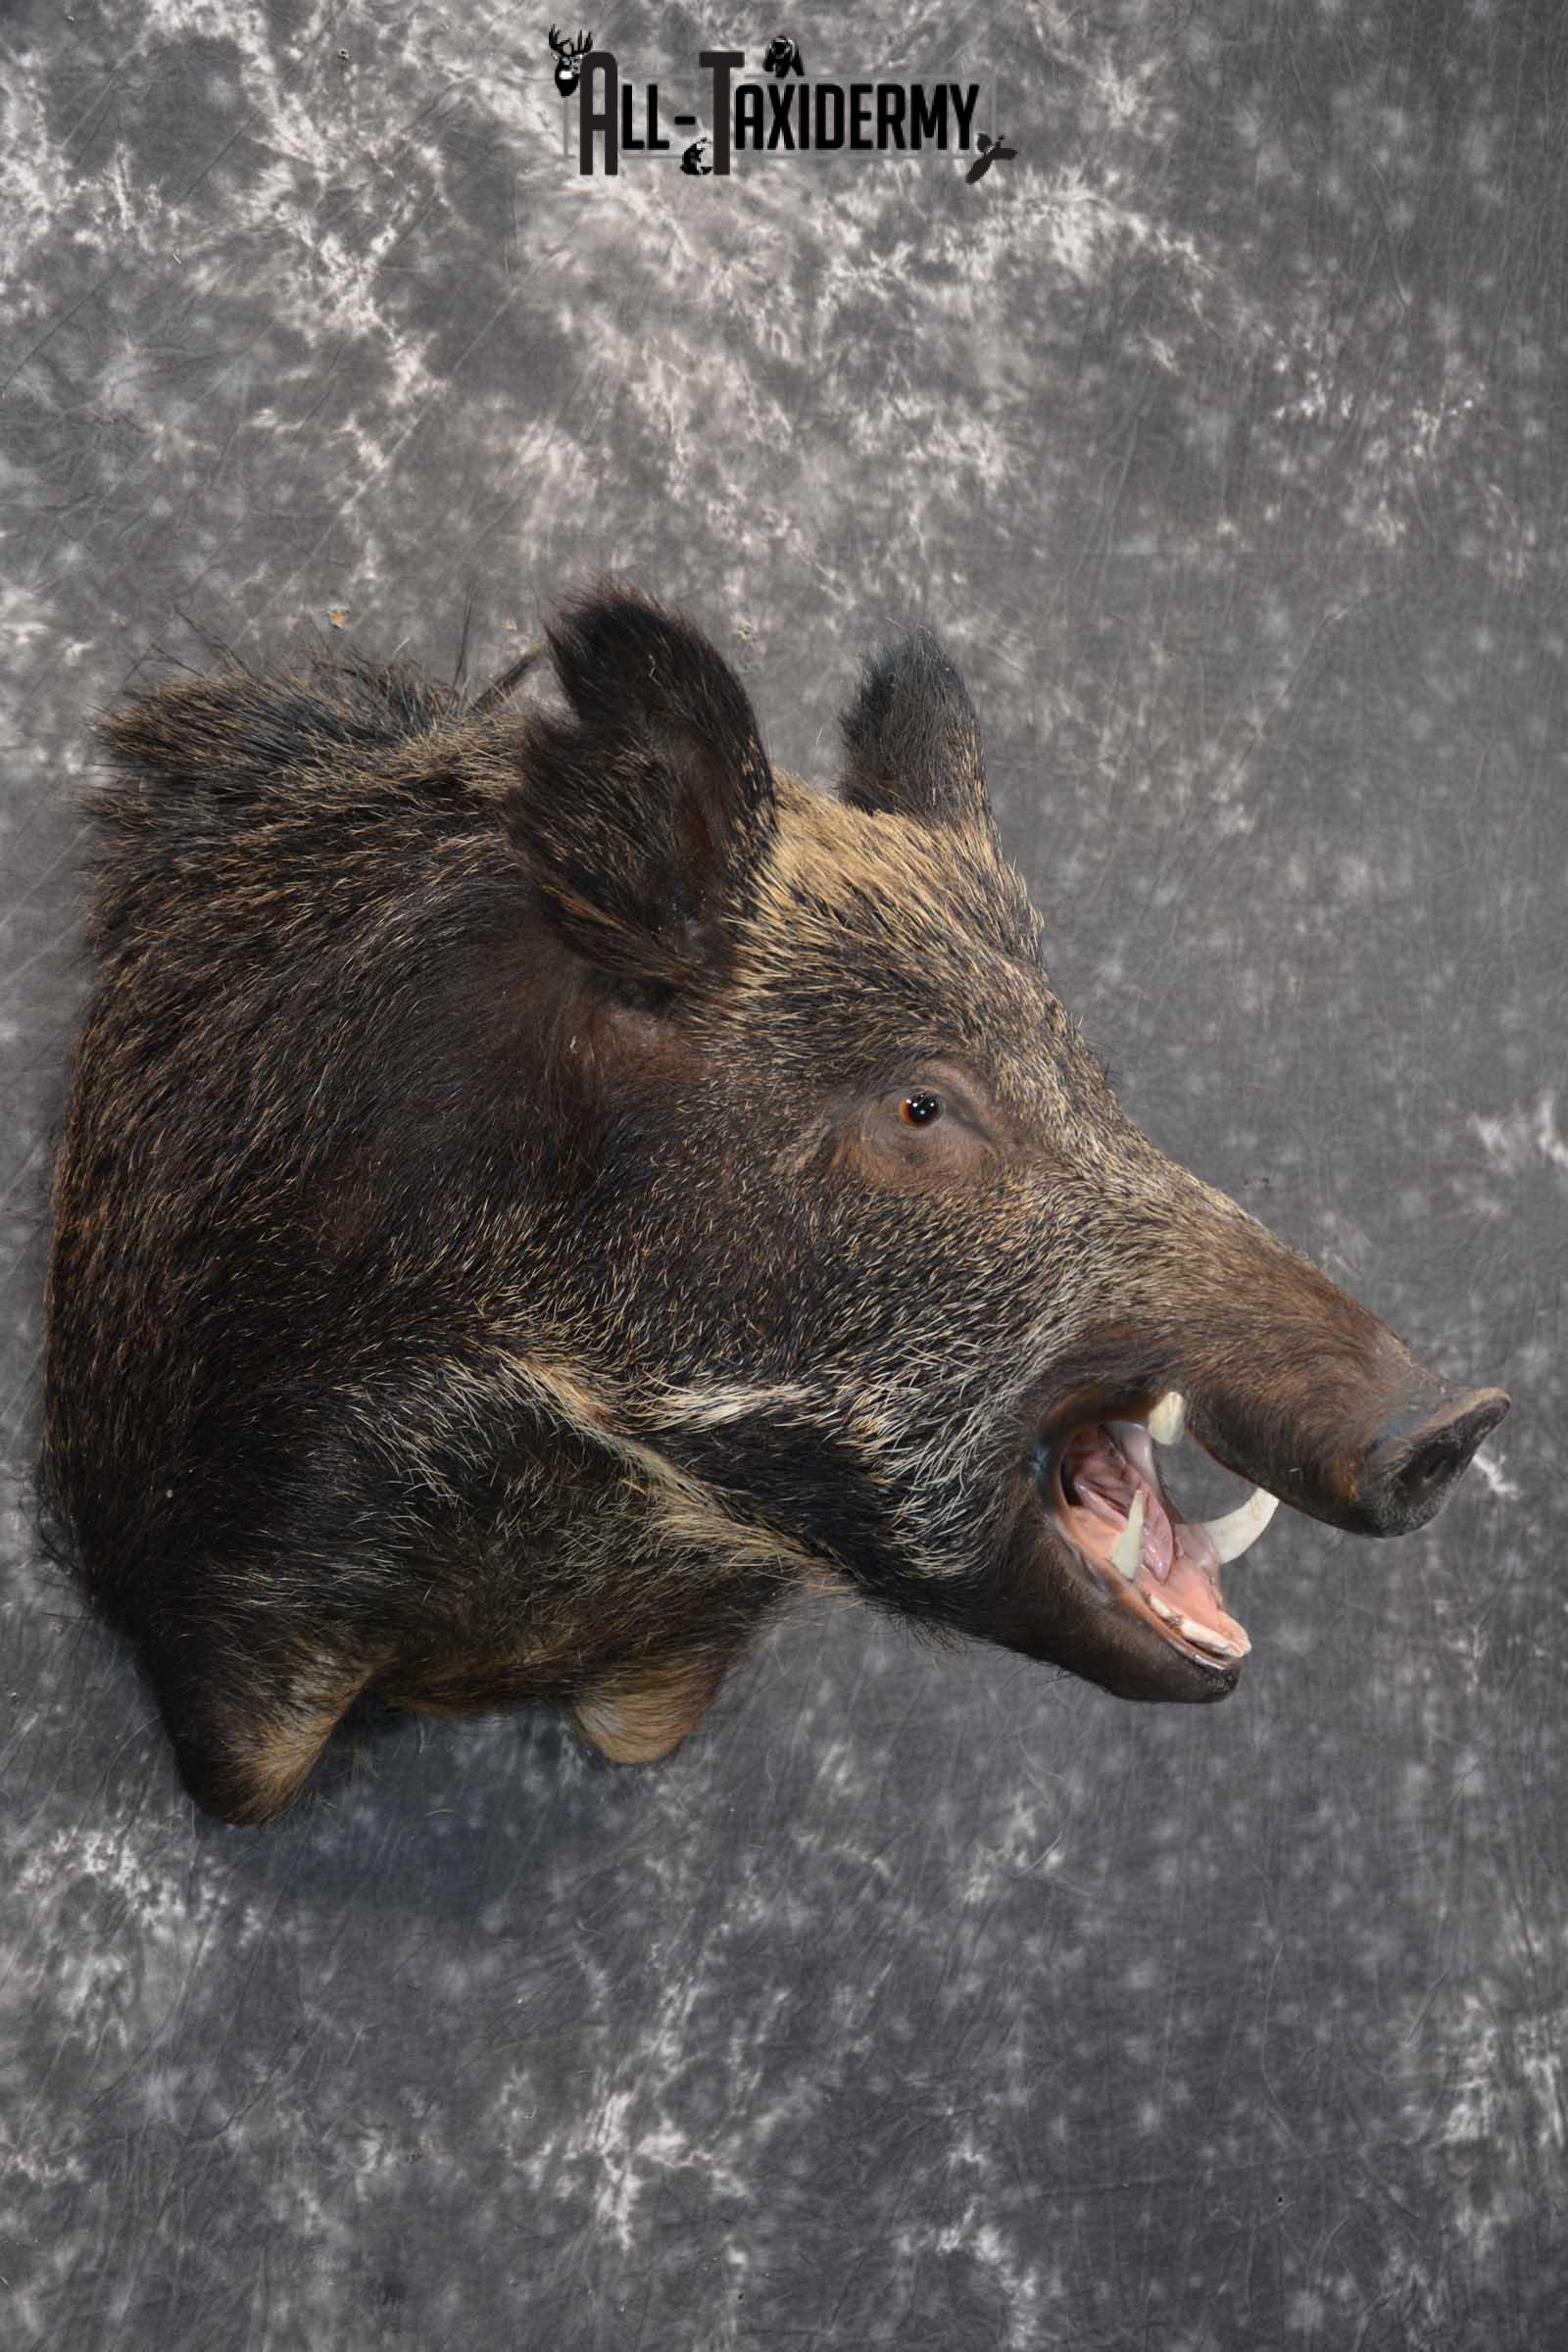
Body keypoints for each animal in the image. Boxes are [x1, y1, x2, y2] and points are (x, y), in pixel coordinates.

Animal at [39, 588, 1510, 1824]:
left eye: (1089, 1070)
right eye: (921, 1106)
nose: (1453, 1419)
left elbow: (640, 1734)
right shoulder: (225, 1569)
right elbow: (251, 1777)